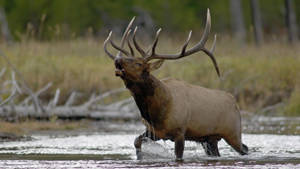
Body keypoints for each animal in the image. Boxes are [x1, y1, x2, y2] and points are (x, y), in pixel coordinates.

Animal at [103, 9, 248, 161]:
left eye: (139, 63)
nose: (118, 60)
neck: (157, 112)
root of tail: (234, 101)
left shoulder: (180, 131)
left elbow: (178, 156)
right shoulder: (154, 131)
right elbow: (136, 141)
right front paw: (139, 157)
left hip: (233, 132)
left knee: (245, 148)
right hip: (210, 139)